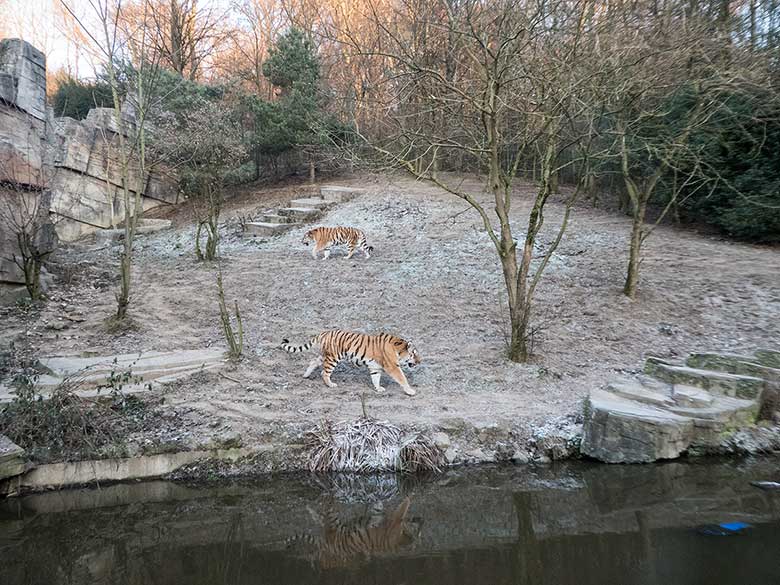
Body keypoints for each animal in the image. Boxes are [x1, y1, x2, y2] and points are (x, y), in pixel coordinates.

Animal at [280, 328, 420, 396]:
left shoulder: (375, 367)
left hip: (325, 355)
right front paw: (410, 391)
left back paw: (306, 375)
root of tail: (324, 333)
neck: (398, 349)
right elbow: (402, 378)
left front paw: (378, 388)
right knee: (325, 373)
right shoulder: (392, 367)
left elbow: (375, 378)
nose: (420, 361)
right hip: (333, 357)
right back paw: (331, 384)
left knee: (314, 361)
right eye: (414, 354)